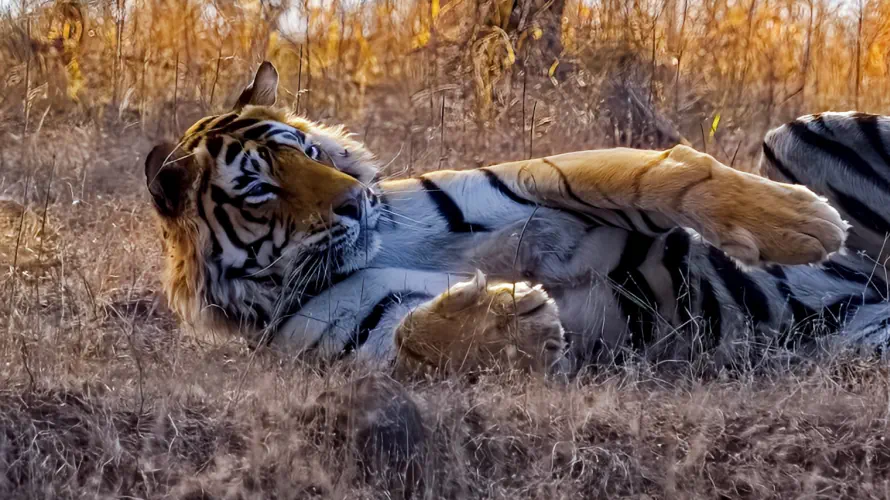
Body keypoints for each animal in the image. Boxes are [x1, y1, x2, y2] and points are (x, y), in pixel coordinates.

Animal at [146, 61, 890, 376]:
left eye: (305, 150)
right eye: (261, 189)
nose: (354, 202)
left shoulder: (532, 183)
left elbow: (663, 171)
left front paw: (801, 223)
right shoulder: (358, 330)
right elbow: (413, 336)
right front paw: (512, 324)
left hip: (801, 133)